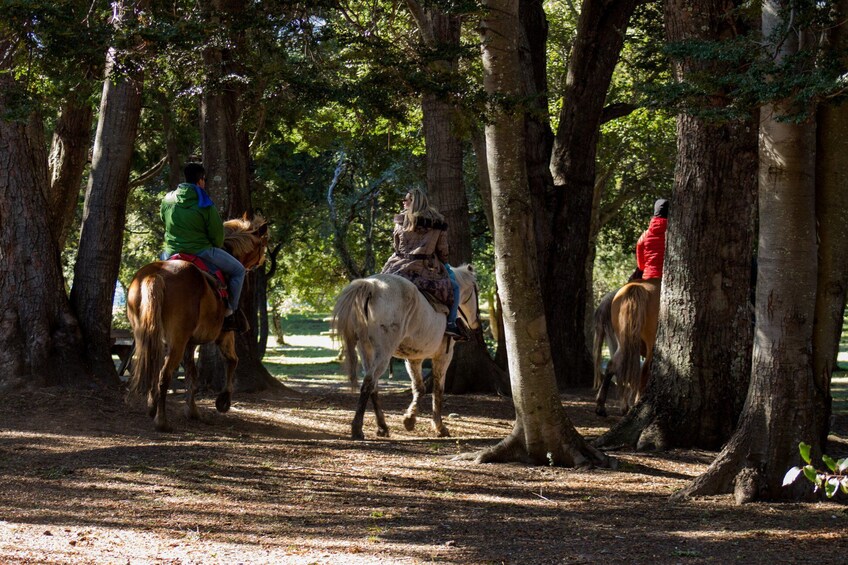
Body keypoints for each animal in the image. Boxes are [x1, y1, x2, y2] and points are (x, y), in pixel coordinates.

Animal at [126, 214, 268, 430]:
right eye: (263, 244)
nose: (261, 262)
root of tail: (156, 275)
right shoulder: (224, 335)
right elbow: (231, 360)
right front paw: (223, 401)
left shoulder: (190, 343)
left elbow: (192, 375)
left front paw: (192, 410)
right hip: (177, 341)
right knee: (164, 375)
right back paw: (162, 421)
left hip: (148, 336)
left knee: (153, 367)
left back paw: (152, 408)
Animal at [330, 264, 480, 440]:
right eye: (476, 290)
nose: (476, 322)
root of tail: (372, 286)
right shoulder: (443, 356)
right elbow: (437, 390)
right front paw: (439, 427)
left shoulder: (414, 358)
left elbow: (419, 388)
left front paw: (410, 419)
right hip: (384, 353)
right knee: (369, 382)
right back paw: (357, 428)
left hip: (366, 350)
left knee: (373, 385)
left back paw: (382, 427)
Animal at [592, 278, 660, 416]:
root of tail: (636, 286)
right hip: (649, 346)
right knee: (643, 371)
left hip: (623, 342)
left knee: (613, 366)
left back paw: (602, 406)